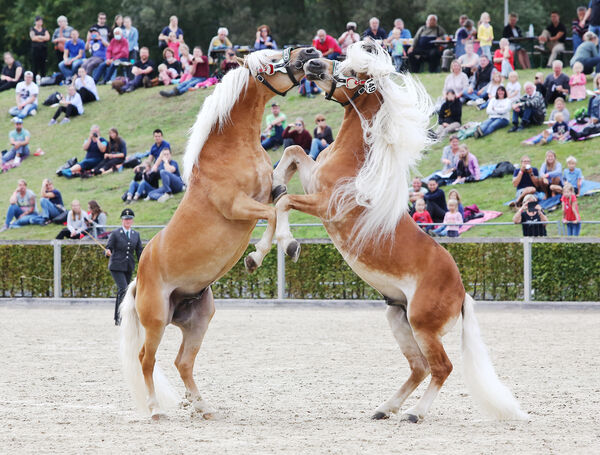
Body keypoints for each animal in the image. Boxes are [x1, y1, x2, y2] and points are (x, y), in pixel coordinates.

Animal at [119, 46, 322, 420]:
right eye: (270, 60)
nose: (310, 52)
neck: (232, 150)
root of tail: (138, 278)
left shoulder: (268, 188)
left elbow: (285, 183)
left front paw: (286, 246)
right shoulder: (238, 206)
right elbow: (272, 214)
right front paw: (260, 256)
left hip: (199, 319)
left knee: (182, 362)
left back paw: (202, 407)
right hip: (156, 322)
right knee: (146, 360)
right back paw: (155, 410)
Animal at [270, 42, 528, 424]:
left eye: (354, 73)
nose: (314, 61)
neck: (352, 160)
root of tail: (462, 293)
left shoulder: (324, 205)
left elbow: (285, 202)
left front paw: (289, 245)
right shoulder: (312, 177)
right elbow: (292, 152)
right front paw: (272, 183)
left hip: (422, 326)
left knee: (441, 368)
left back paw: (414, 413)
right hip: (397, 318)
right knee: (419, 368)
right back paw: (385, 408)